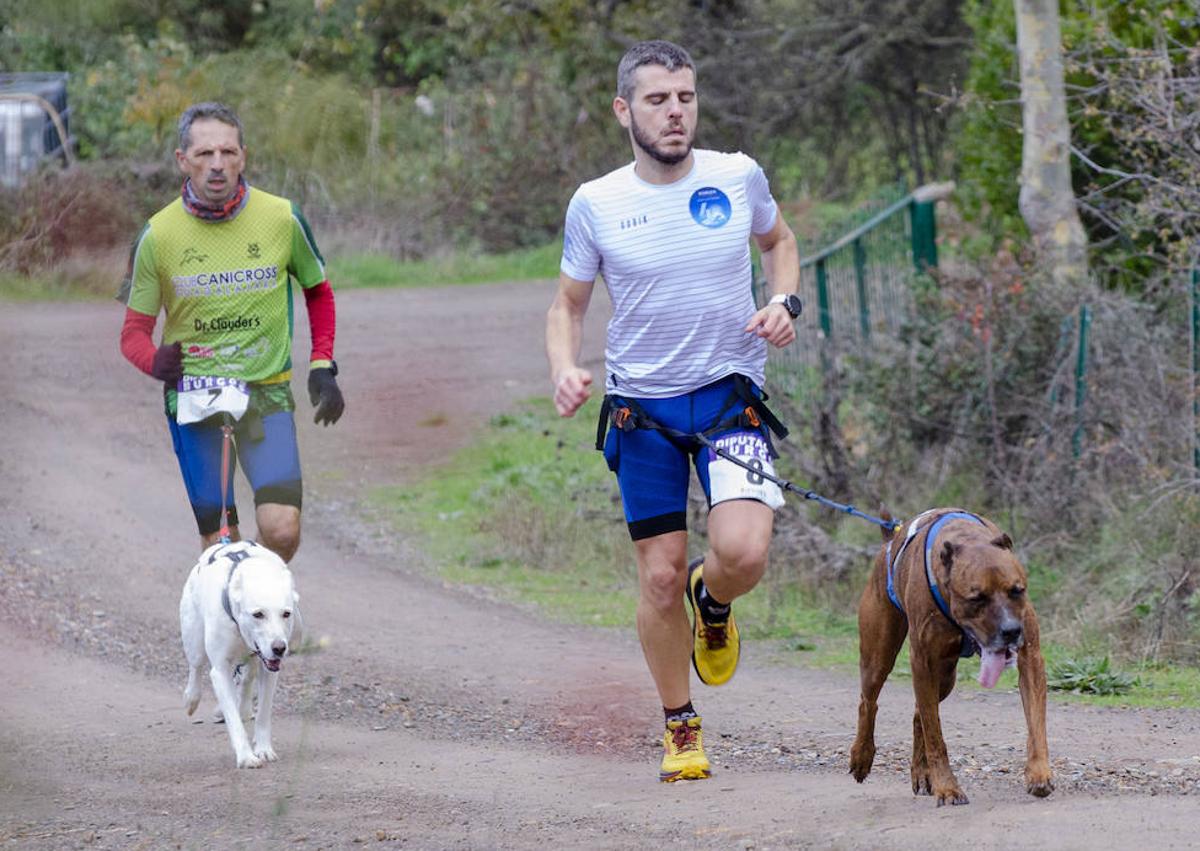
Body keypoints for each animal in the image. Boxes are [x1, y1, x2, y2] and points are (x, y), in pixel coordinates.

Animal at [178, 540, 298, 768]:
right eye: (258, 614)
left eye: (286, 613)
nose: (279, 648)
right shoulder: (220, 671)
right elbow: (232, 719)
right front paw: (246, 756)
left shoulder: (269, 669)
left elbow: (263, 713)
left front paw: (263, 749)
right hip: (194, 637)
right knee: (196, 666)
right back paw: (191, 699)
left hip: (252, 660)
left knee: (247, 678)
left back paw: (244, 706)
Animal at [849, 508, 1056, 806]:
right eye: (977, 598)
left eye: (1017, 590)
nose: (1010, 631)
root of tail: (889, 541)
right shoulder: (922, 662)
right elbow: (936, 738)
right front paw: (947, 787)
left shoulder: (1031, 659)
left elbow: (1036, 724)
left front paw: (1039, 773)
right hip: (878, 656)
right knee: (870, 702)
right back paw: (862, 756)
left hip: (945, 677)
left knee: (919, 715)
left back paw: (922, 773)